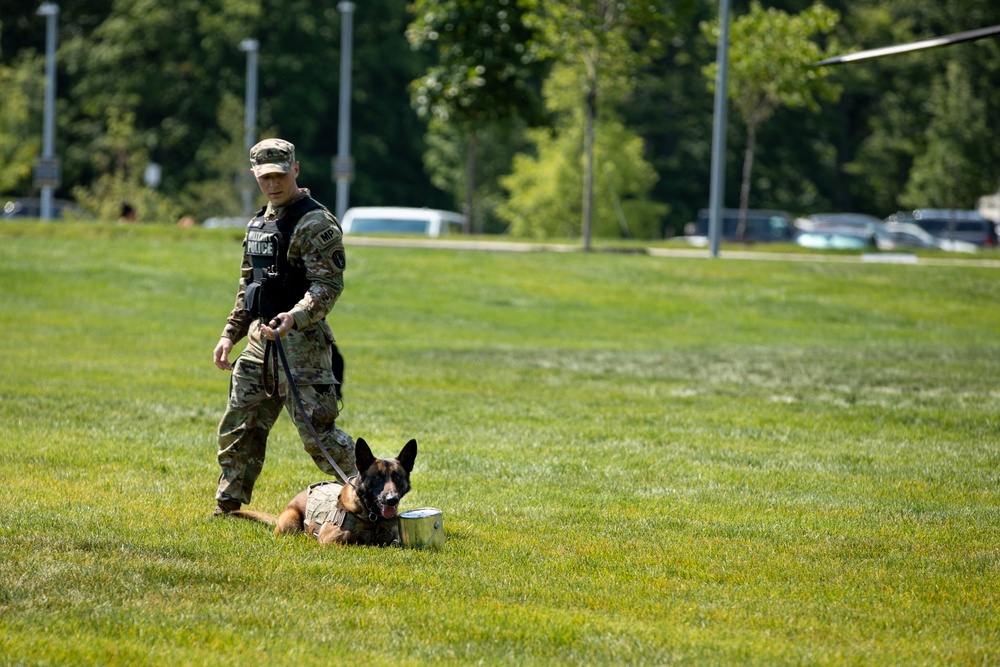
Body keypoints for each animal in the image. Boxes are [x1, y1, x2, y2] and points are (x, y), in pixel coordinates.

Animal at [231, 438, 418, 548]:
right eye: (377, 477)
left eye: (398, 477)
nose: (392, 499)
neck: (372, 517)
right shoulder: (330, 542)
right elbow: (353, 541)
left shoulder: (393, 541)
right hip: (290, 522)